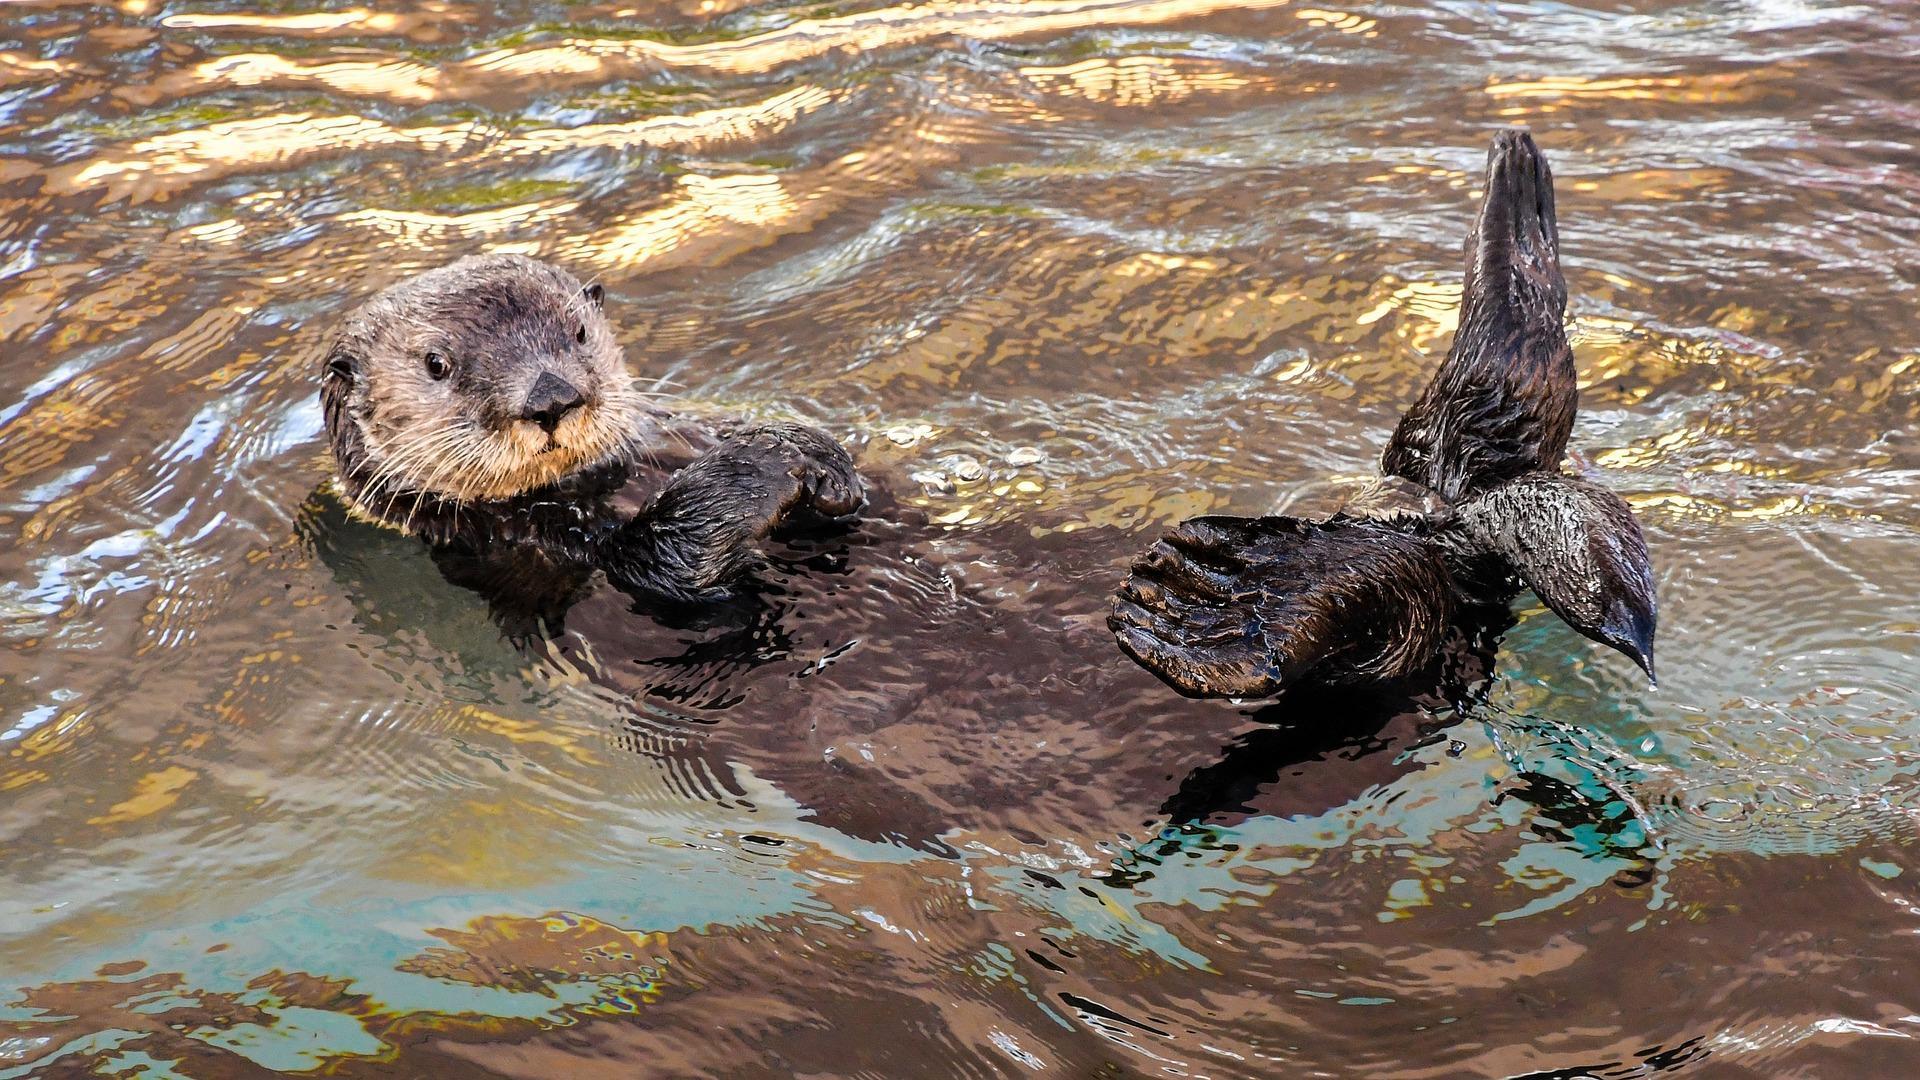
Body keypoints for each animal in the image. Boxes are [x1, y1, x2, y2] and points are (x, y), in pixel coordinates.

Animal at [322, 253, 864, 607]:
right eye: (436, 364)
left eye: (579, 332)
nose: (550, 398)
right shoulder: (533, 546)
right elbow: (669, 561)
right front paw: (759, 466)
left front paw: (812, 452)